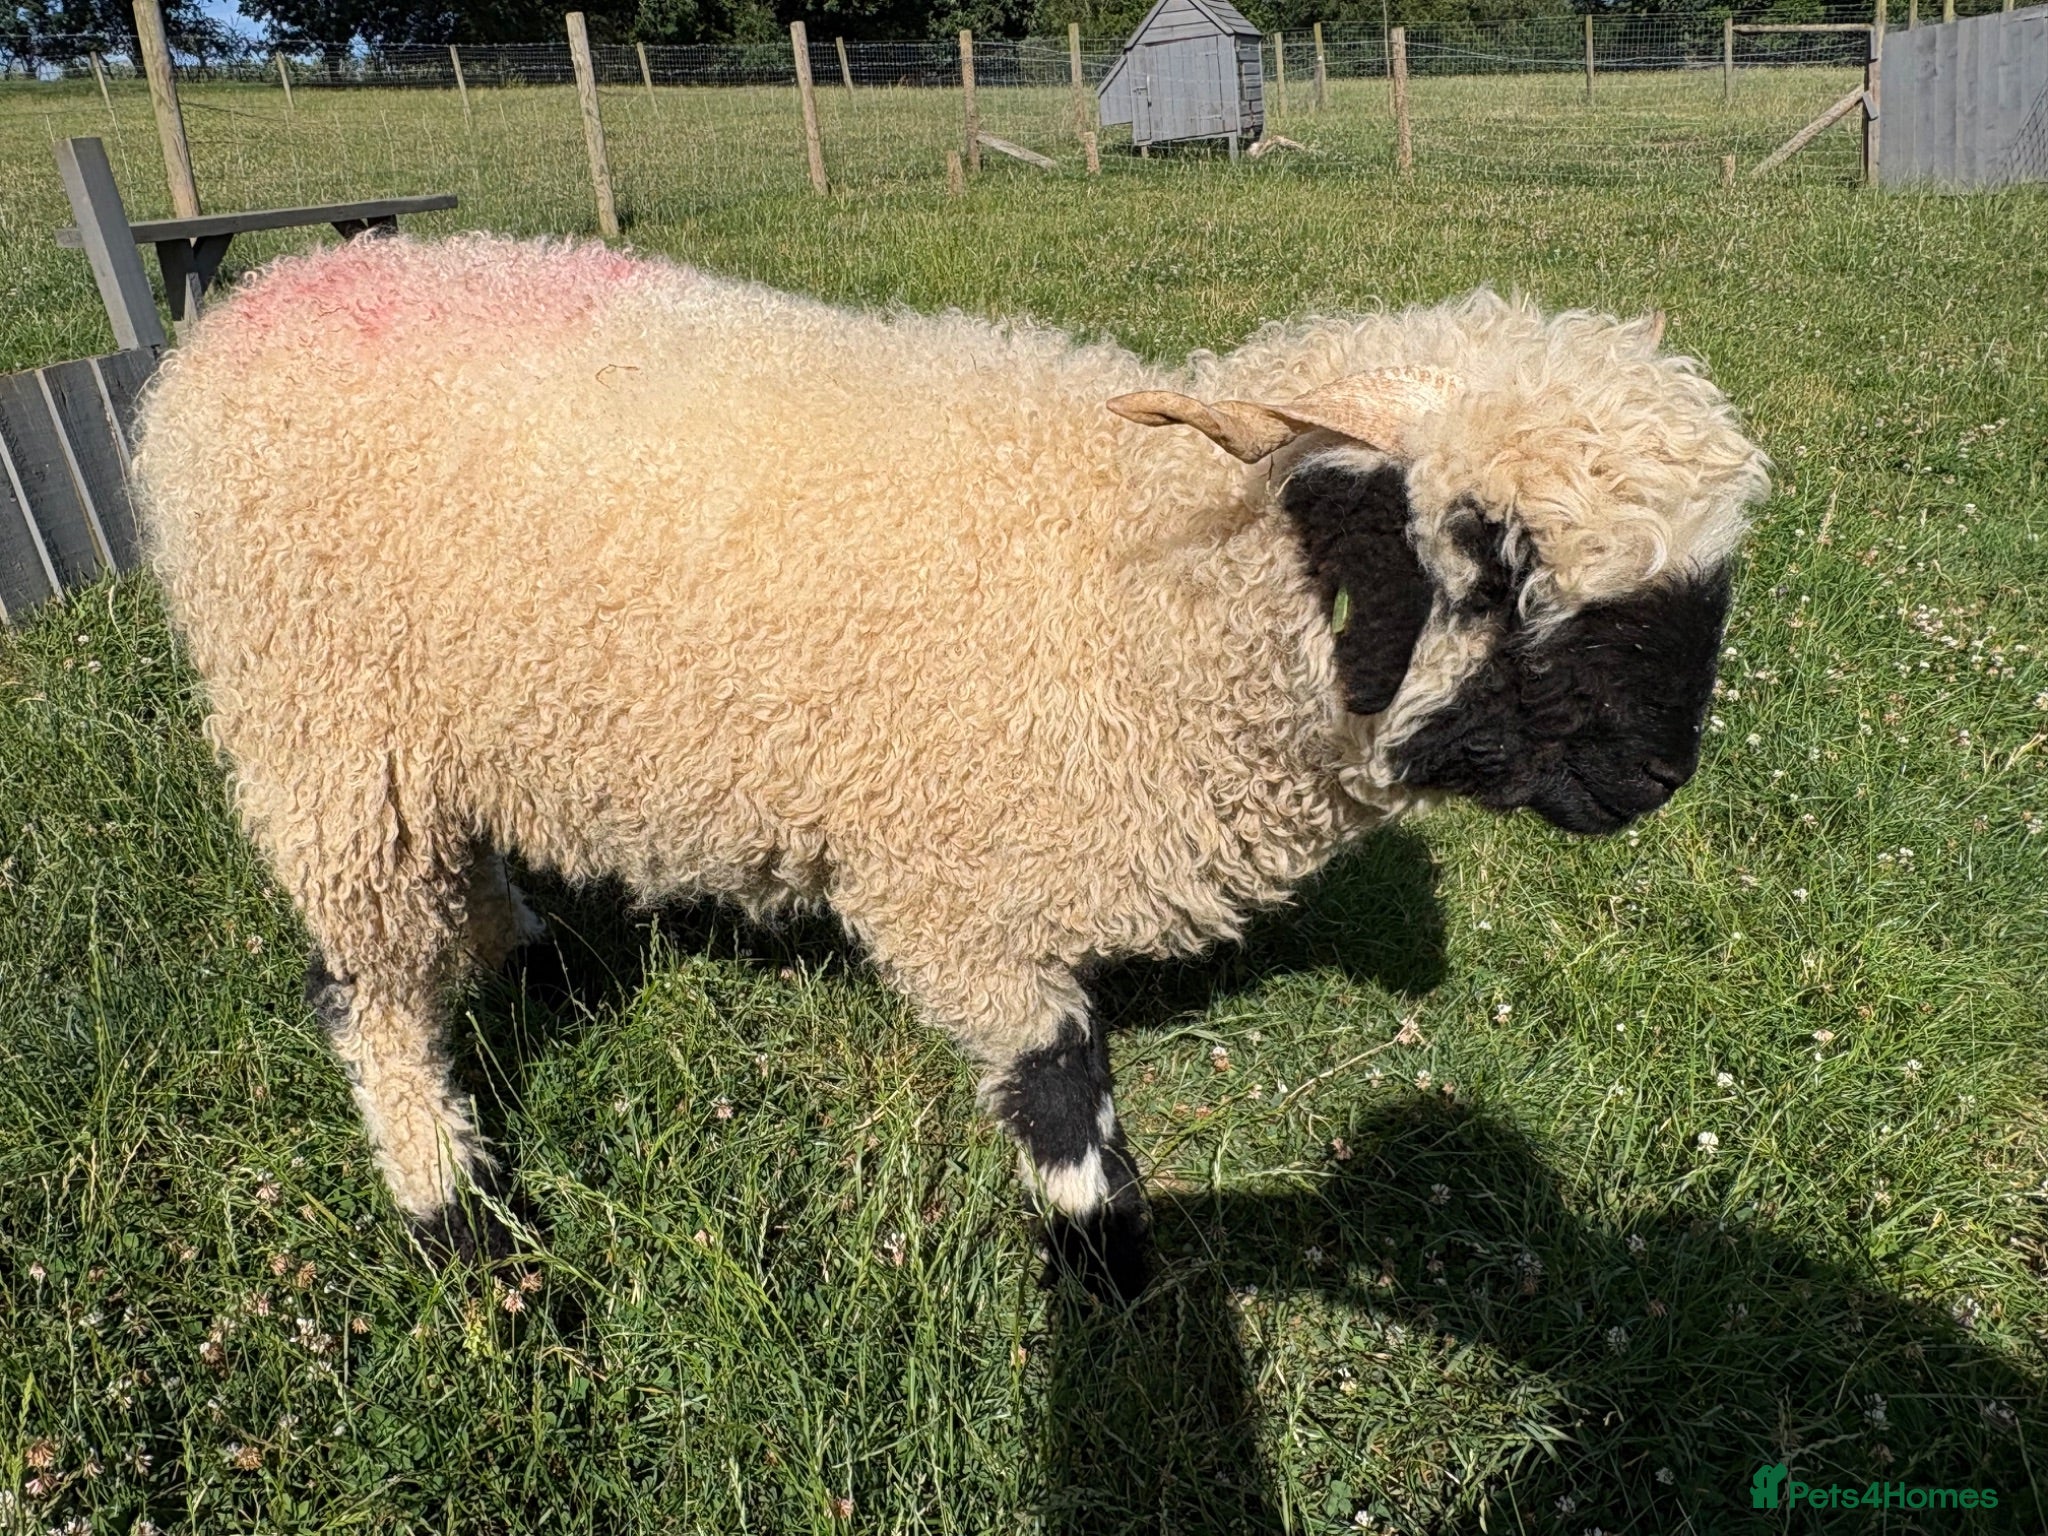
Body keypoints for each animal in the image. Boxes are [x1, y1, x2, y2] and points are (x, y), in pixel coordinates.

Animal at [133, 233, 1769, 1296]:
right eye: (1489, 554)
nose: (1655, 779)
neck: (1133, 583)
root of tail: (257, 301)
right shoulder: (946, 879)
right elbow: (1060, 1091)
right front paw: (1112, 1283)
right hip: (320, 719)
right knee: (363, 992)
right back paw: (459, 1223)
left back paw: (522, 954)